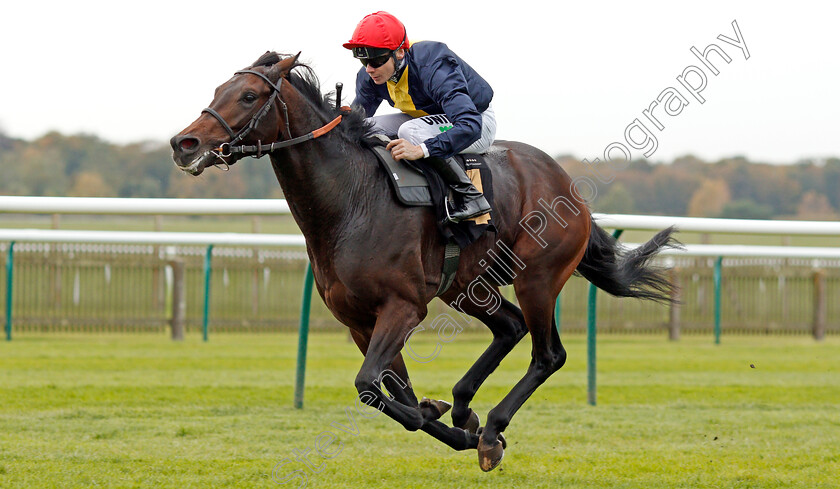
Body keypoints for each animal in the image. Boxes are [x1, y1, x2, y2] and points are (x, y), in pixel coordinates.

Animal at [169, 51, 676, 470]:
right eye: (217, 91)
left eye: (248, 95)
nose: (184, 143)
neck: (351, 200)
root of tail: (569, 185)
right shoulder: (359, 321)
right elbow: (392, 393)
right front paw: (451, 421)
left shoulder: (404, 306)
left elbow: (372, 386)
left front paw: (469, 431)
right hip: (466, 286)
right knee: (509, 326)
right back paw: (466, 408)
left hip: (538, 278)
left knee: (547, 353)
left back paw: (492, 426)